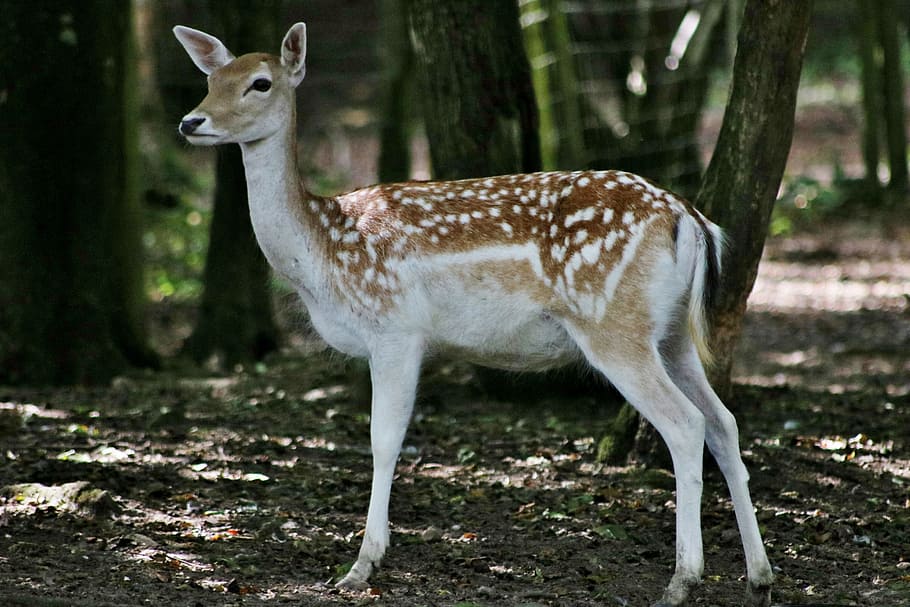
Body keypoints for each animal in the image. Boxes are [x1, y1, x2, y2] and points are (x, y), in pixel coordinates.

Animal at [173, 22, 774, 607]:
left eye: (260, 83)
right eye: (211, 78)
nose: (190, 121)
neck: (322, 253)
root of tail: (689, 218)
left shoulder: (395, 328)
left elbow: (384, 439)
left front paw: (361, 567)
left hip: (613, 322)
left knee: (686, 424)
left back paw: (682, 580)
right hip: (671, 333)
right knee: (723, 422)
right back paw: (759, 577)